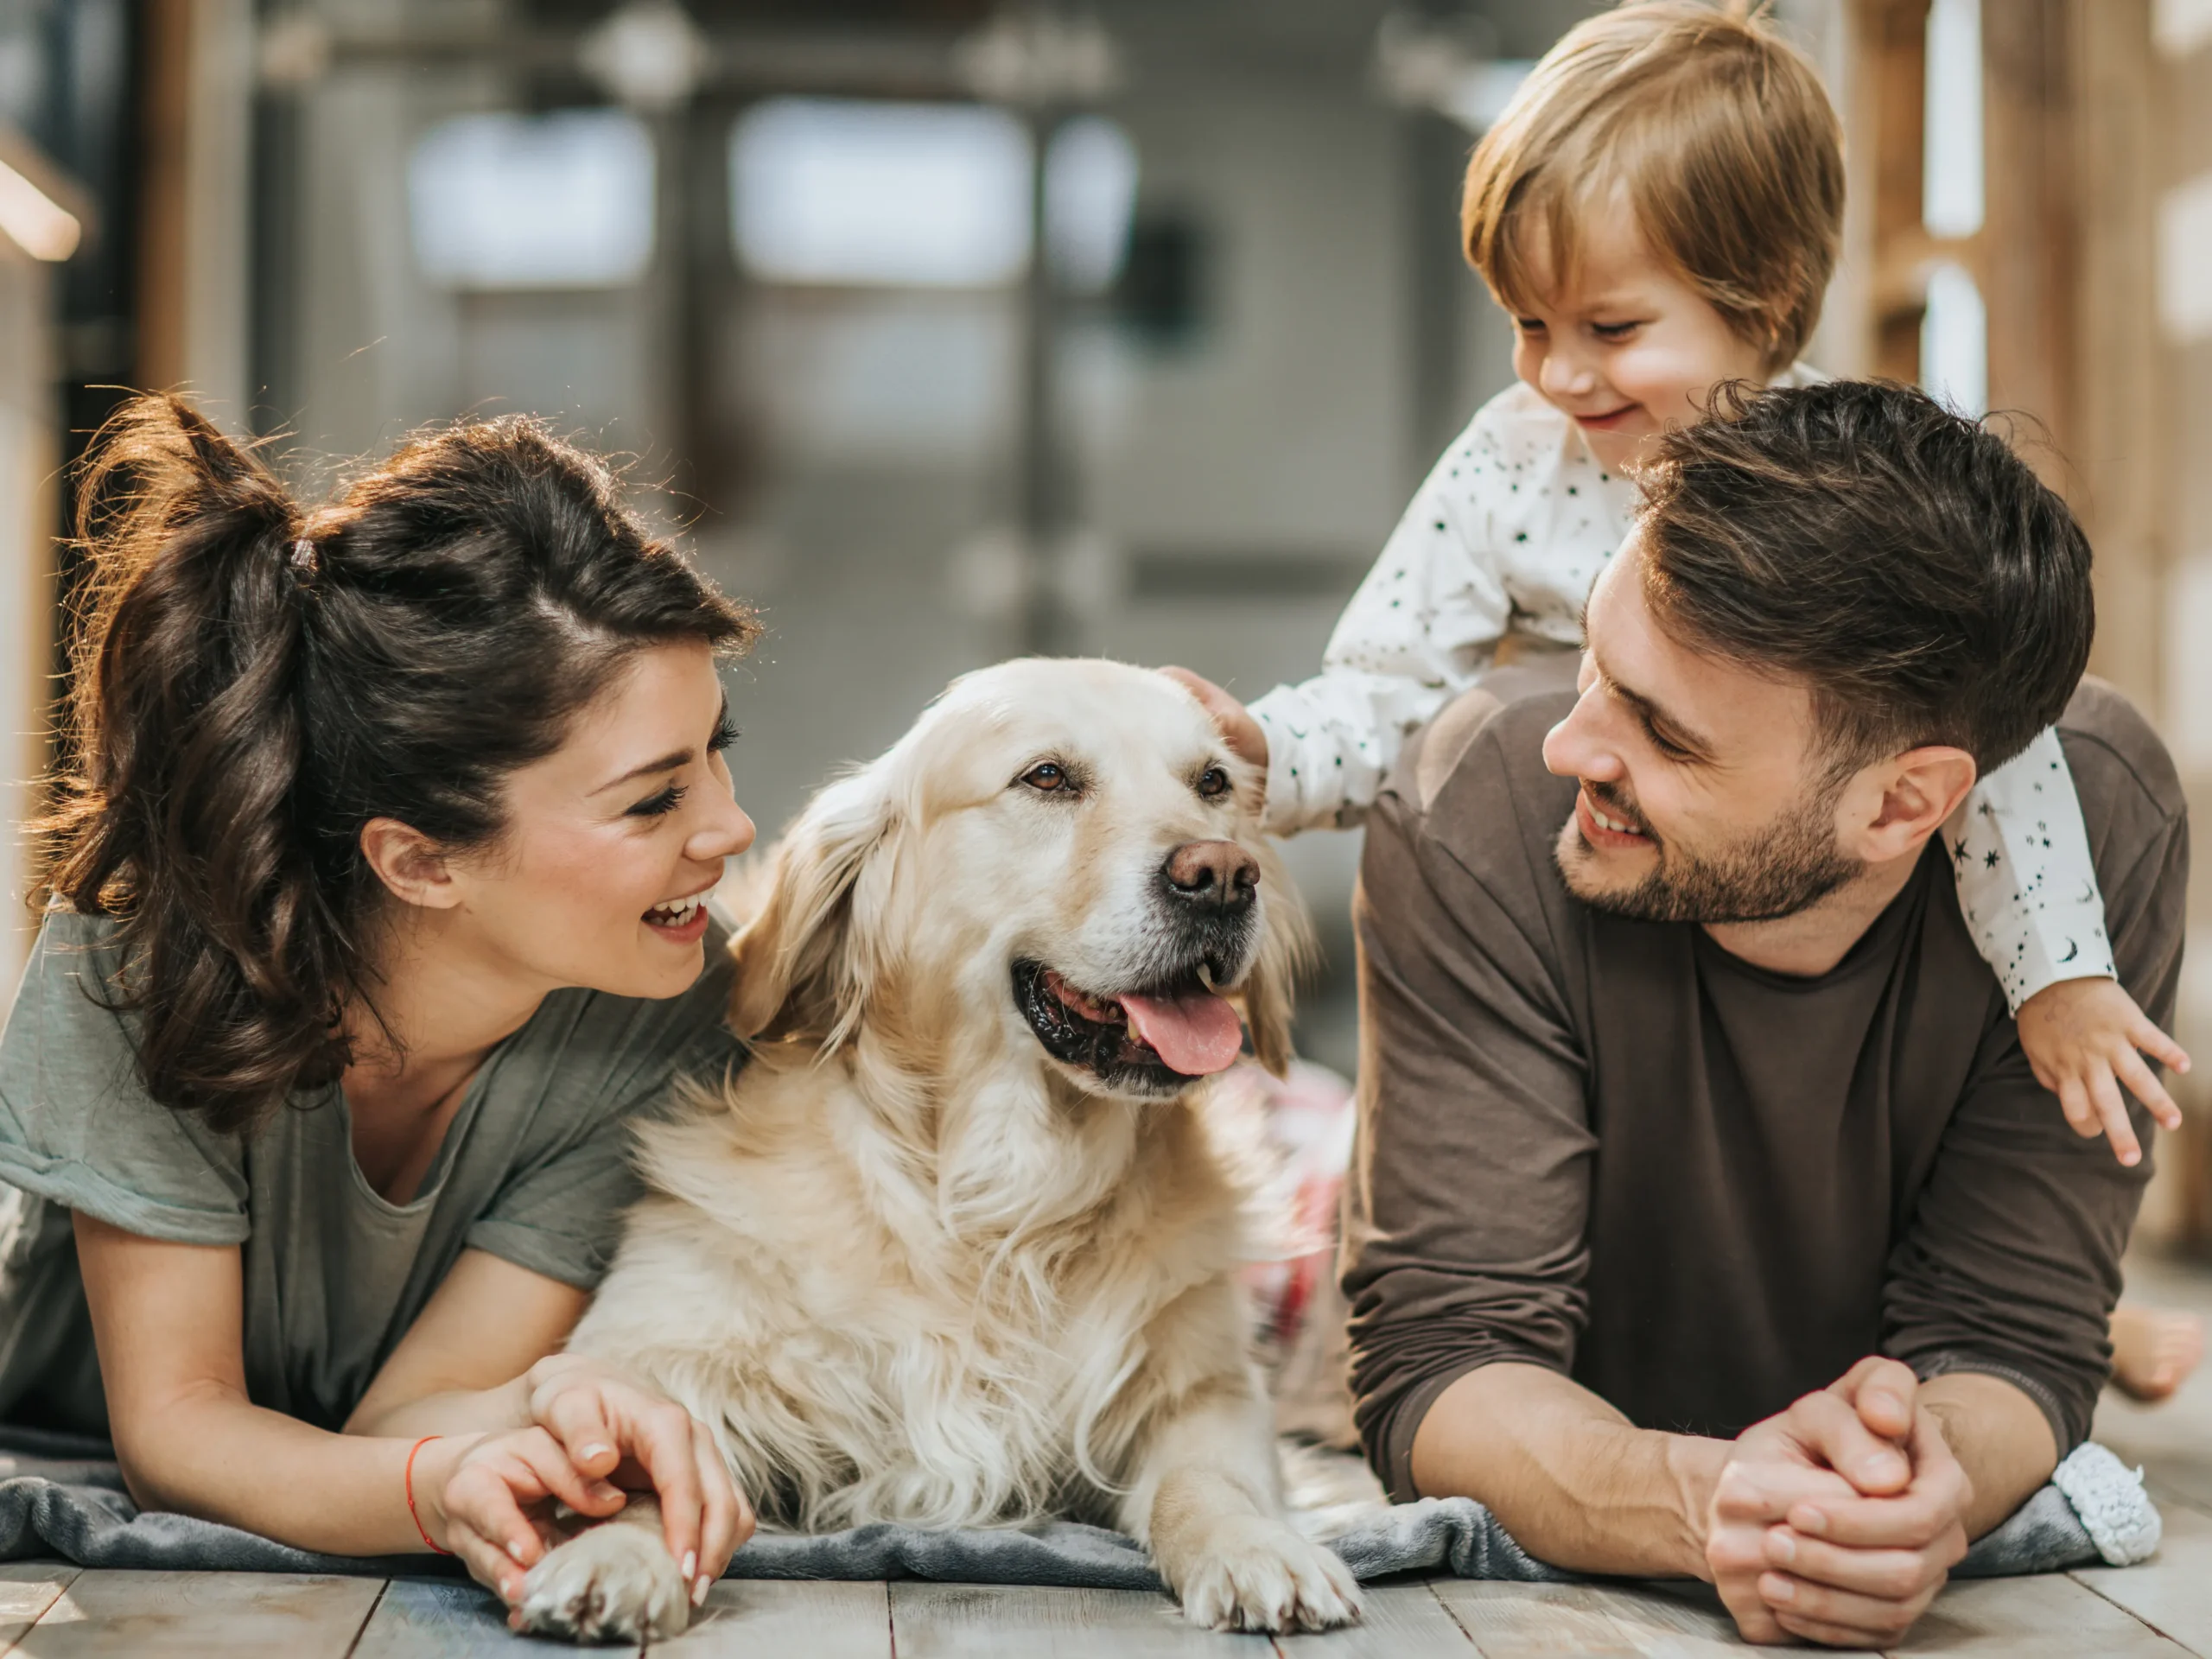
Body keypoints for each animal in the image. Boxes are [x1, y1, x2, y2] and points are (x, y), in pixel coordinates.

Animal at [515, 654, 1362, 1645]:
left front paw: (1258, 1545)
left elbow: (1209, 1477)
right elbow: (649, 1456)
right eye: (1046, 777)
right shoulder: (658, 1343)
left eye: (1214, 784)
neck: (997, 1198)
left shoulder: (1207, 1387)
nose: (1224, 875)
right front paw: (614, 1553)